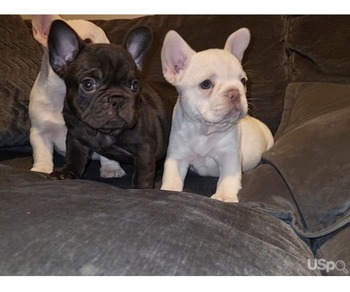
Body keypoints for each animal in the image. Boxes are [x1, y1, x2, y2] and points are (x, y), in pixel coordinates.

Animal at [29, 16, 126, 178]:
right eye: (88, 41)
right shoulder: (39, 131)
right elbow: (42, 152)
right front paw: (41, 168)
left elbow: (107, 154)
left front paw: (111, 169)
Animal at [47, 20, 176, 189]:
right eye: (88, 84)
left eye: (135, 85)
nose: (117, 99)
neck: (104, 132)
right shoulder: (75, 138)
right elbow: (75, 157)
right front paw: (66, 173)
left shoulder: (144, 148)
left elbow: (143, 173)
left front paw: (142, 189)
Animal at [160, 28, 274, 202]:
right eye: (206, 84)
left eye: (243, 81)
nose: (235, 92)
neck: (204, 130)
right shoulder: (177, 156)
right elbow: (172, 176)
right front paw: (169, 190)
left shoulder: (229, 156)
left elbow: (228, 178)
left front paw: (224, 196)